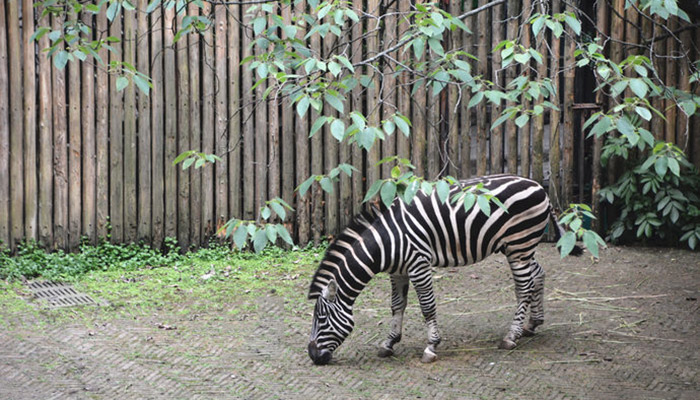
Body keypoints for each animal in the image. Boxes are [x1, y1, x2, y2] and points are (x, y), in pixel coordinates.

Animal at [308, 173, 584, 364]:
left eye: (321, 319)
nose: (312, 356)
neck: (388, 241)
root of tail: (540, 187)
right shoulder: (398, 271)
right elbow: (397, 305)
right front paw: (389, 342)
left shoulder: (418, 264)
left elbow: (427, 306)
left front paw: (431, 347)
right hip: (519, 247)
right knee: (538, 274)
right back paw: (533, 324)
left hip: (520, 243)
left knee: (524, 287)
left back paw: (511, 336)